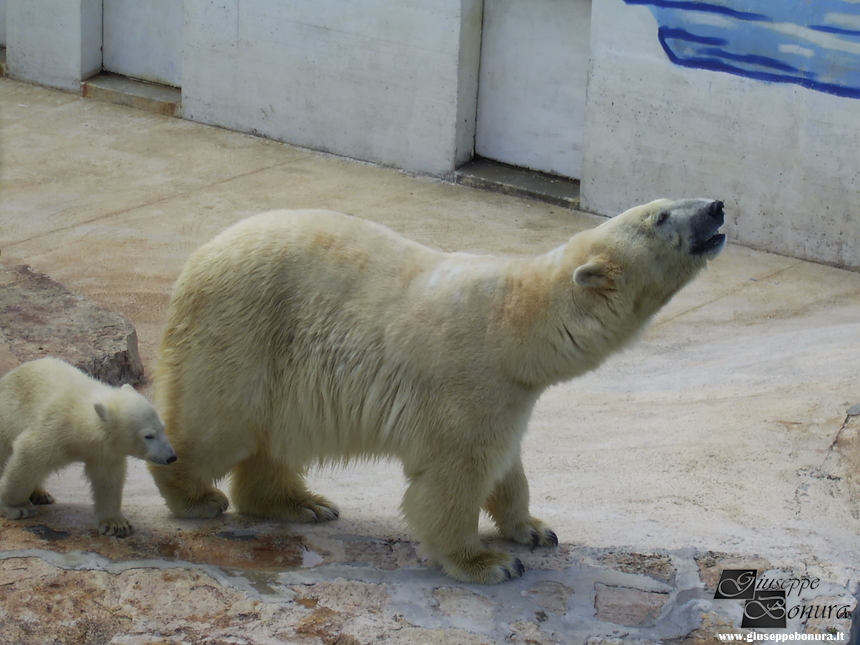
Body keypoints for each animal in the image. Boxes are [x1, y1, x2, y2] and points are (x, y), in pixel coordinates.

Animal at [149, 197, 724, 584]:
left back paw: (303, 504)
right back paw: (198, 497)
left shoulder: (510, 394)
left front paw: (534, 529)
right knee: (215, 424)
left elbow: (508, 466)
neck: (517, 324)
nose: (717, 208)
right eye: (661, 217)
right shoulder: (469, 380)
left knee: (274, 439)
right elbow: (454, 475)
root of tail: (197, 260)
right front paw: (488, 562)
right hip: (242, 332)